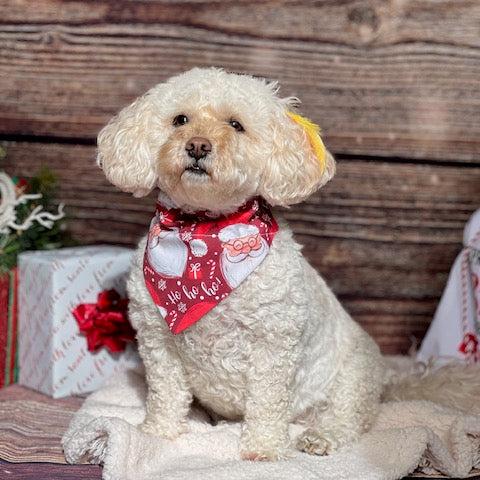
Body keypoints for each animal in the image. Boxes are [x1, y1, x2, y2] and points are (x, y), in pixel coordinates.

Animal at [95, 67, 474, 462]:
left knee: (348, 418)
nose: (198, 145)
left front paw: (262, 448)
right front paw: (159, 433)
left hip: (351, 380)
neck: (204, 231)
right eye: (180, 120)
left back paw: (321, 436)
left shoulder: (272, 345)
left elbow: (265, 402)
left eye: (236, 125)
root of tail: (390, 380)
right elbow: (166, 395)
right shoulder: (158, 342)